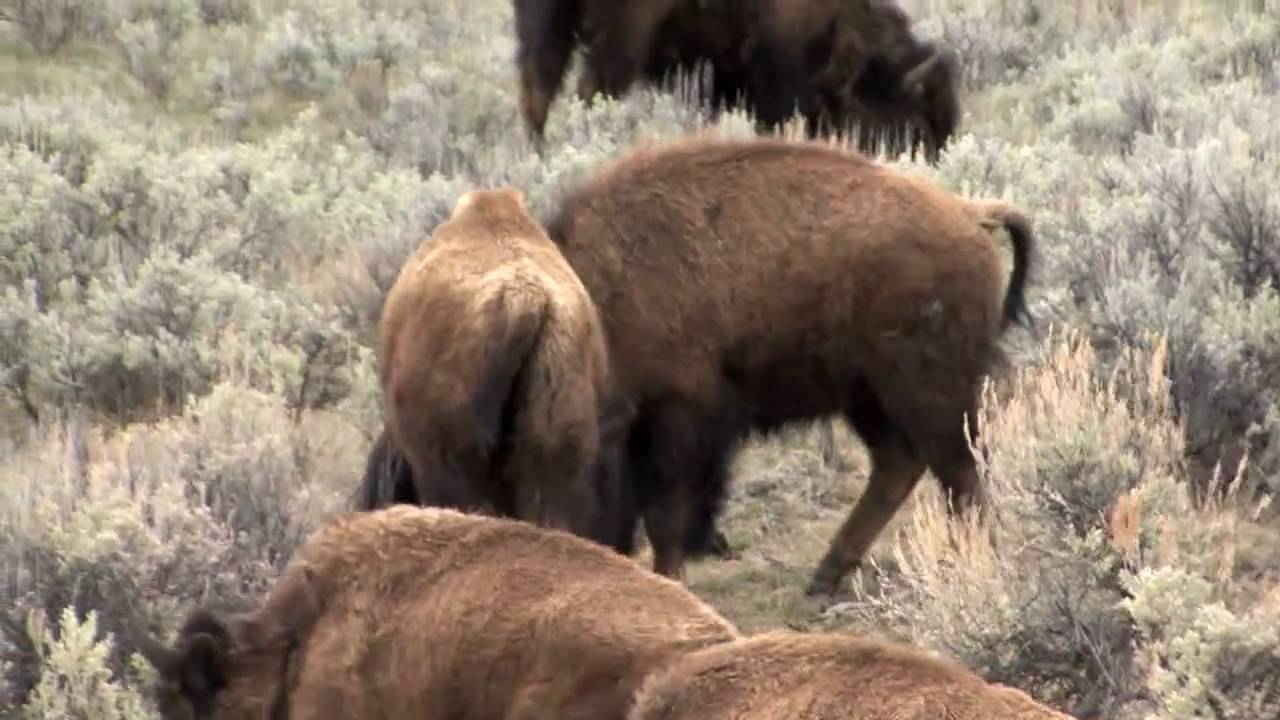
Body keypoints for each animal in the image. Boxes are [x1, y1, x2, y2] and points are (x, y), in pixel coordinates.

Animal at [541, 135, 1035, 594]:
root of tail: (970, 215)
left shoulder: (678, 420)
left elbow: (667, 517)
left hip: (924, 393)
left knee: (958, 473)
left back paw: (974, 562)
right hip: (867, 396)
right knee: (902, 465)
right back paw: (824, 577)